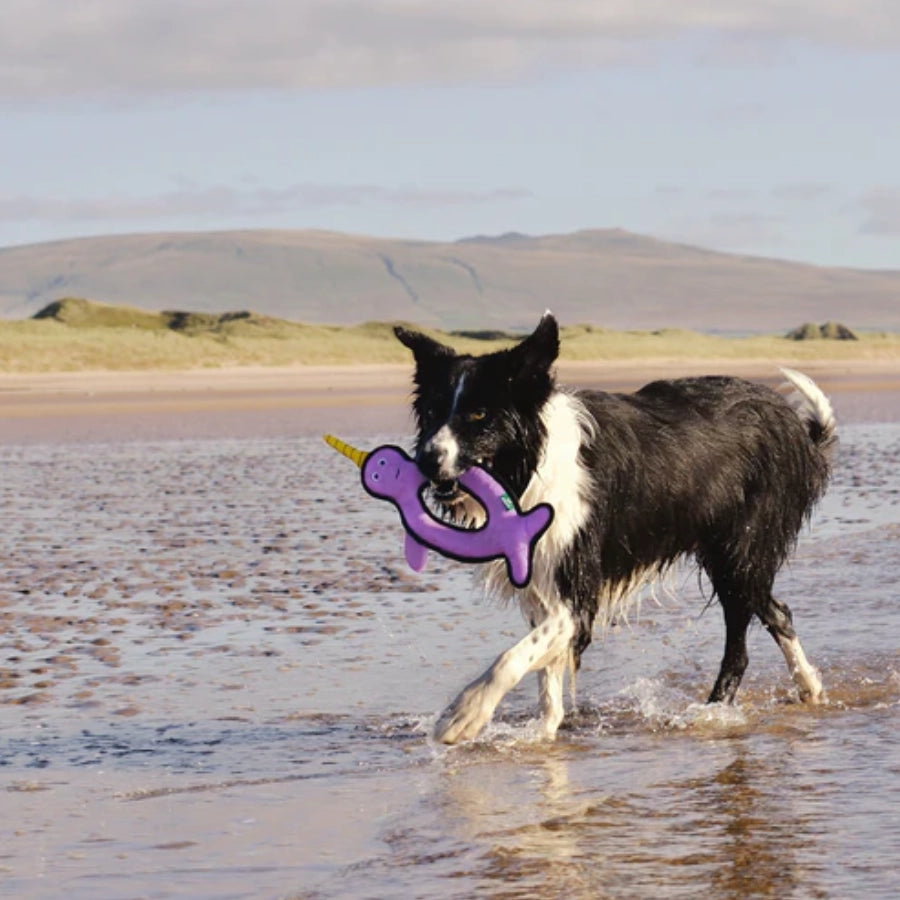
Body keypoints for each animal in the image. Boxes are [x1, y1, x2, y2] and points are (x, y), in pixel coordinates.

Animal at [394, 312, 836, 740]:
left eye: (479, 414)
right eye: (432, 412)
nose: (426, 460)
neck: (529, 468)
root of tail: (799, 428)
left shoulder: (578, 591)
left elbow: (512, 656)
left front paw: (464, 714)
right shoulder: (543, 583)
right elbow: (545, 676)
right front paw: (544, 734)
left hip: (741, 552)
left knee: (744, 642)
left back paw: (716, 711)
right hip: (732, 555)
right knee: (777, 611)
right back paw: (809, 687)